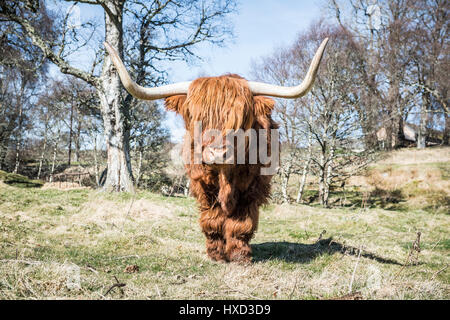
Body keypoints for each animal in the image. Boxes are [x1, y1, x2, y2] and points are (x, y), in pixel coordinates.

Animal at [106, 38, 330, 264]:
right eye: (196, 117)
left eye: (241, 118)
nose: (218, 154)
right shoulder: (202, 186)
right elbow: (212, 219)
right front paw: (216, 254)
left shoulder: (252, 187)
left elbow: (241, 222)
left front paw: (240, 255)